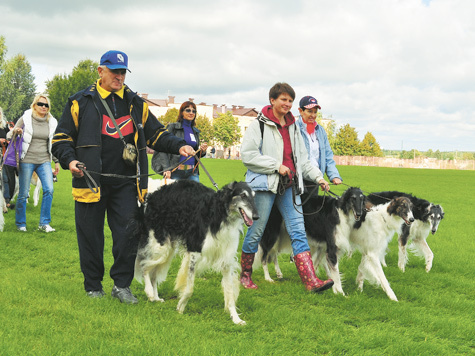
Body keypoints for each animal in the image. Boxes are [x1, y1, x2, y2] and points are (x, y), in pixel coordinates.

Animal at [133, 181, 260, 326]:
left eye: (254, 196)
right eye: (243, 195)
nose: (256, 217)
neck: (219, 214)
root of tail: (151, 194)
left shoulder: (226, 259)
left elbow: (230, 292)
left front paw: (236, 318)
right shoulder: (195, 251)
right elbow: (190, 288)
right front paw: (181, 306)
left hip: (168, 248)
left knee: (153, 273)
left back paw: (156, 297)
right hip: (160, 245)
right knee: (144, 265)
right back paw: (149, 292)